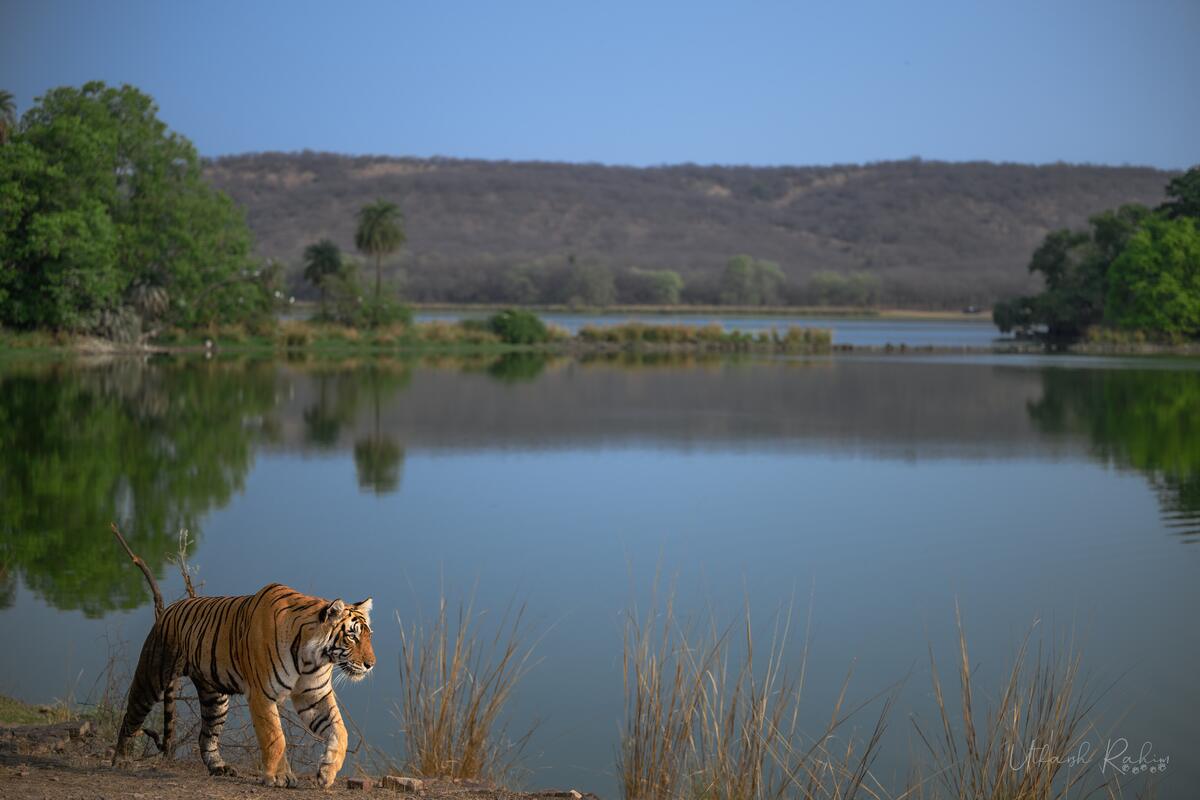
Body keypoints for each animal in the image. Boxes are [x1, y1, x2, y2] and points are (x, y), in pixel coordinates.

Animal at [112, 583, 375, 788]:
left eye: (368, 635)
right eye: (352, 636)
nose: (371, 664)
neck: (313, 657)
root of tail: (169, 609)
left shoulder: (314, 695)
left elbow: (339, 731)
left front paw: (327, 772)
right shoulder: (262, 694)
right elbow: (275, 737)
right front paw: (277, 777)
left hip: (215, 699)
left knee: (206, 736)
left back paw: (219, 768)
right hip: (152, 677)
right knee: (130, 717)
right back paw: (121, 760)